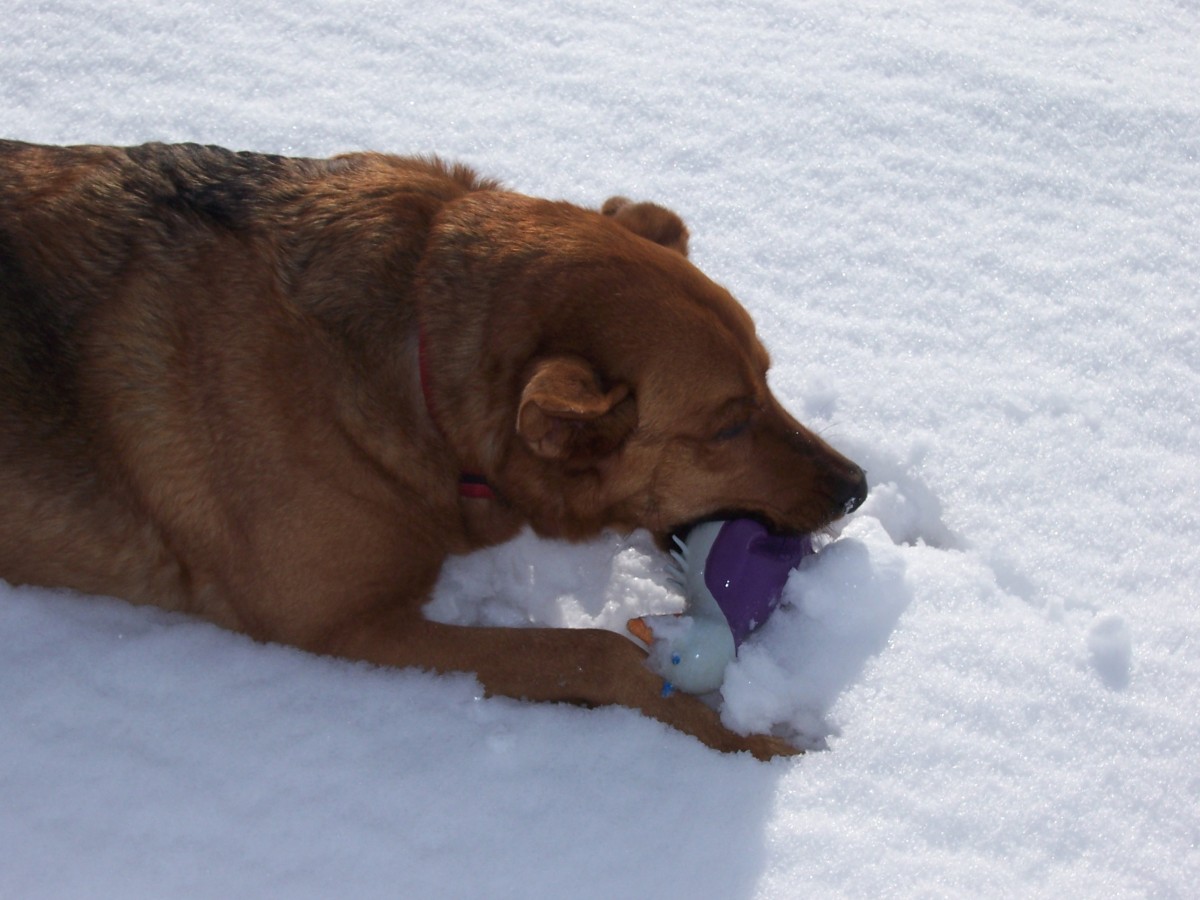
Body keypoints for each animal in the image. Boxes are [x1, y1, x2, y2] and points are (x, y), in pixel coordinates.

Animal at [0, 141, 864, 763]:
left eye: (768, 381)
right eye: (728, 426)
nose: (857, 486)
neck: (415, 356)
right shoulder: (343, 630)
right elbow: (593, 652)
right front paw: (754, 745)